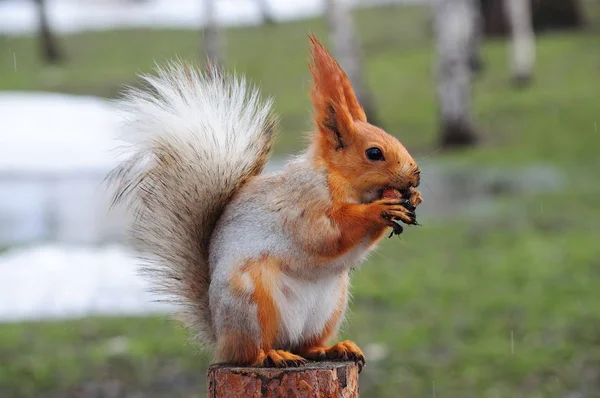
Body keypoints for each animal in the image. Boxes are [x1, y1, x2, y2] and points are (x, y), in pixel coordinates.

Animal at [110, 34, 424, 370]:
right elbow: (325, 235)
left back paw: (331, 349)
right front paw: (378, 210)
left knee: (305, 345)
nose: (416, 175)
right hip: (250, 301)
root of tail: (221, 339)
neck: (340, 180)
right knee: (251, 352)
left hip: (330, 306)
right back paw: (271, 354)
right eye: (374, 153)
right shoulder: (302, 204)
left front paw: (411, 199)